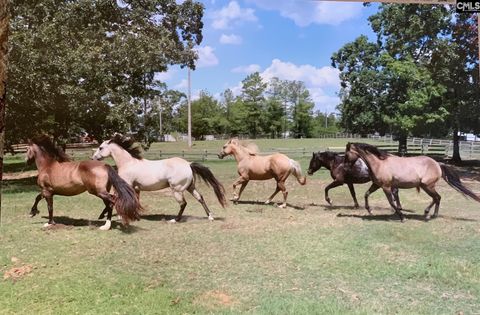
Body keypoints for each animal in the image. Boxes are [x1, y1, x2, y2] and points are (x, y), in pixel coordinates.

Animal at [92, 133, 227, 222]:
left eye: (100, 148)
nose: (93, 158)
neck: (128, 163)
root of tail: (188, 164)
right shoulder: (136, 188)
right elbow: (135, 201)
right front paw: (136, 216)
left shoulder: (127, 185)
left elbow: (116, 199)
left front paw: (112, 216)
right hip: (190, 187)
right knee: (200, 198)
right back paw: (210, 216)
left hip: (177, 189)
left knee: (183, 203)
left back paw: (175, 220)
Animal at [344, 143, 480, 222]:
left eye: (346, 154)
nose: (345, 167)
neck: (379, 164)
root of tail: (437, 164)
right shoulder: (378, 185)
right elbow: (366, 194)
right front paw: (369, 210)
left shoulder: (386, 187)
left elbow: (392, 202)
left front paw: (402, 217)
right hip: (426, 186)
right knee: (437, 198)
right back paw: (431, 215)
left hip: (427, 186)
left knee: (437, 197)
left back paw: (429, 215)